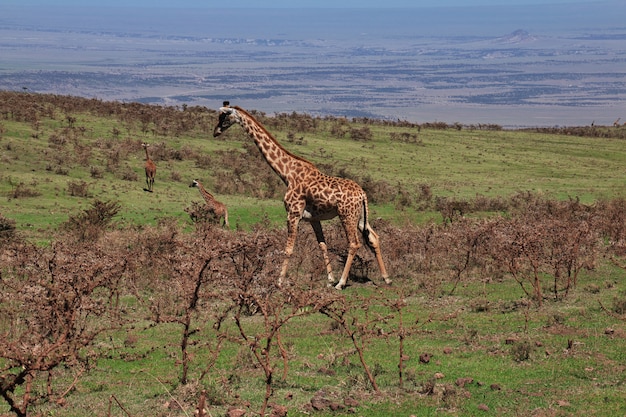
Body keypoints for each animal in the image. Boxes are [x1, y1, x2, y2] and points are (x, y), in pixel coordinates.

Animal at [214, 104, 390, 290]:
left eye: (224, 116)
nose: (216, 131)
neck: (287, 173)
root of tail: (362, 194)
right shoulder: (313, 218)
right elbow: (322, 245)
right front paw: (329, 279)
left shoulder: (293, 213)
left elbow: (288, 249)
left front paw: (279, 281)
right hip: (360, 217)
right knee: (374, 238)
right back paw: (386, 278)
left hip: (347, 216)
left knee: (354, 243)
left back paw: (342, 283)